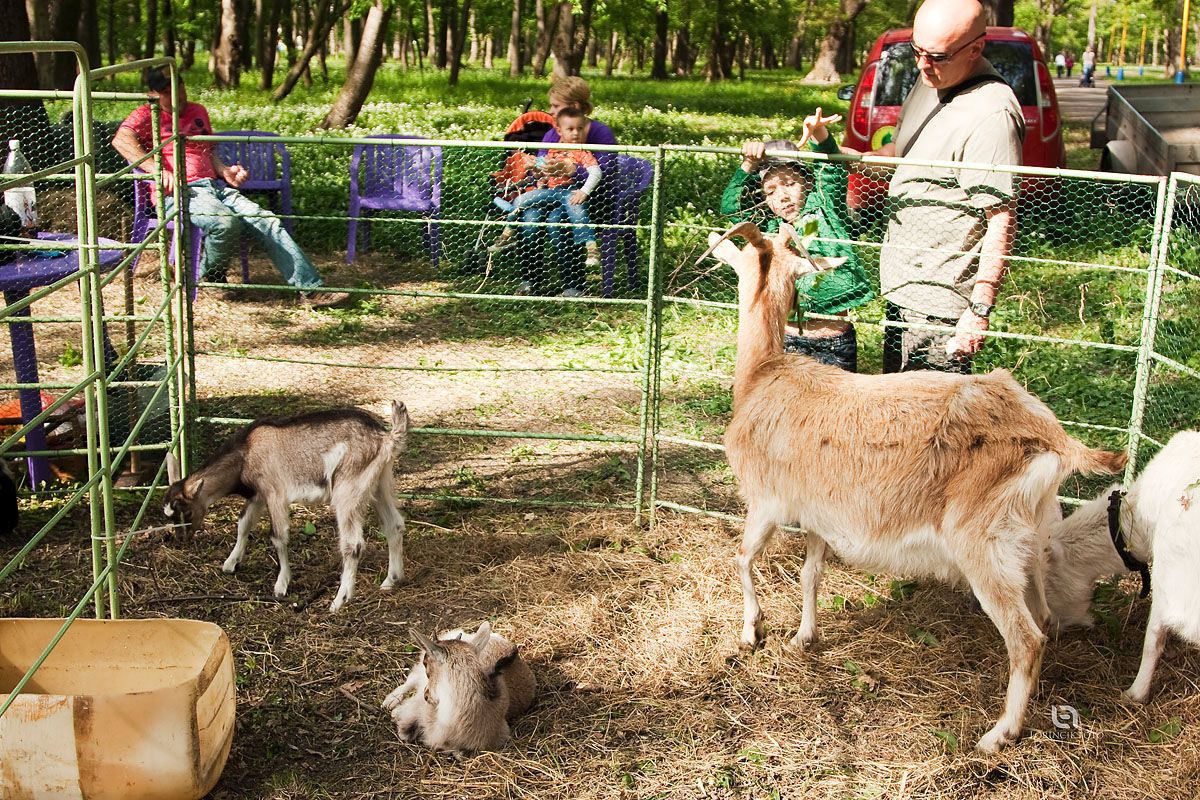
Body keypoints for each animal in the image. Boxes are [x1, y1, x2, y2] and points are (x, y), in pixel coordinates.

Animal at [163, 401, 409, 612]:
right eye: (169, 515)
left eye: (186, 511)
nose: (181, 540)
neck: (246, 452)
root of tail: (386, 438)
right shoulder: (258, 495)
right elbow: (243, 524)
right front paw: (230, 563)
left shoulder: (274, 493)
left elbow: (278, 537)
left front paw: (281, 585)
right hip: (379, 484)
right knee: (394, 525)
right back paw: (391, 580)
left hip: (348, 488)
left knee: (353, 544)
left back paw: (340, 600)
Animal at [382, 622, 536, 757]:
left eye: (428, 666)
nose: (427, 696)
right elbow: (405, 730)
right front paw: (396, 712)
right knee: (412, 678)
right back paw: (390, 701)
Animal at [706, 221, 1127, 751]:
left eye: (740, 250)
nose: (713, 243)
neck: (761, 378)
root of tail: (1054, 438)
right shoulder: (819, 513)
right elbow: (810, 573)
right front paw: (804, 637)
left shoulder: (765, 500)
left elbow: (742, 558)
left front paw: (751, 632)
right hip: (1030, 533)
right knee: (1046, 618)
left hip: (981, 542)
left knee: (1026, 637)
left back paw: (998, 735)